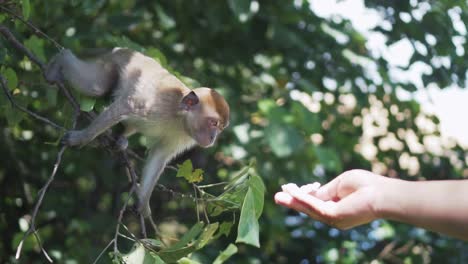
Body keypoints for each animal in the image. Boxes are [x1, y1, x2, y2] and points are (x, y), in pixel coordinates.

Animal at [44, 47, 231, 217]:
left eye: (220, 127)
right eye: (213, 123)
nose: (213, 137)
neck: (179, 119)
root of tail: (126, 50)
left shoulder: (182, 137)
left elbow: (159, 155)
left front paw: (143, 202)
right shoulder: (157, 104)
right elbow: (124, 107)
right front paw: (80, 138)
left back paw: (120, 139)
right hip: (112, 62)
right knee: (95, 86)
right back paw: (60, 61)